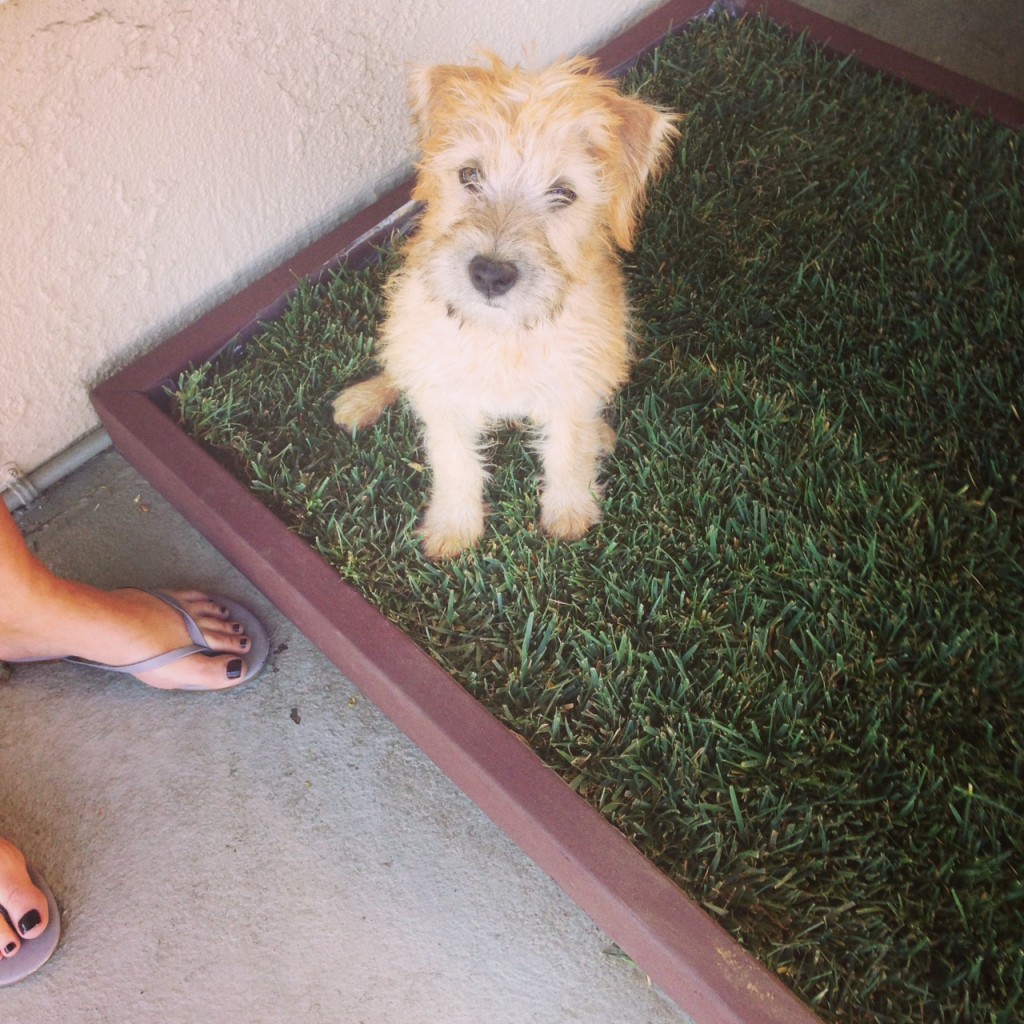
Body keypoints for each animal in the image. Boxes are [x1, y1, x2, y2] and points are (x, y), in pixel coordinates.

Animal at [331, 54, 675, 561]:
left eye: (564, 193)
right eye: (469, 175)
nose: (490, 274)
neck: (503, 333)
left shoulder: (574, 382)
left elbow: (569, 449)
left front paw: (569, 512)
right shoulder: (444, 392)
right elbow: (454, 462)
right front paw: (454, 528)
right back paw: (363, 399)